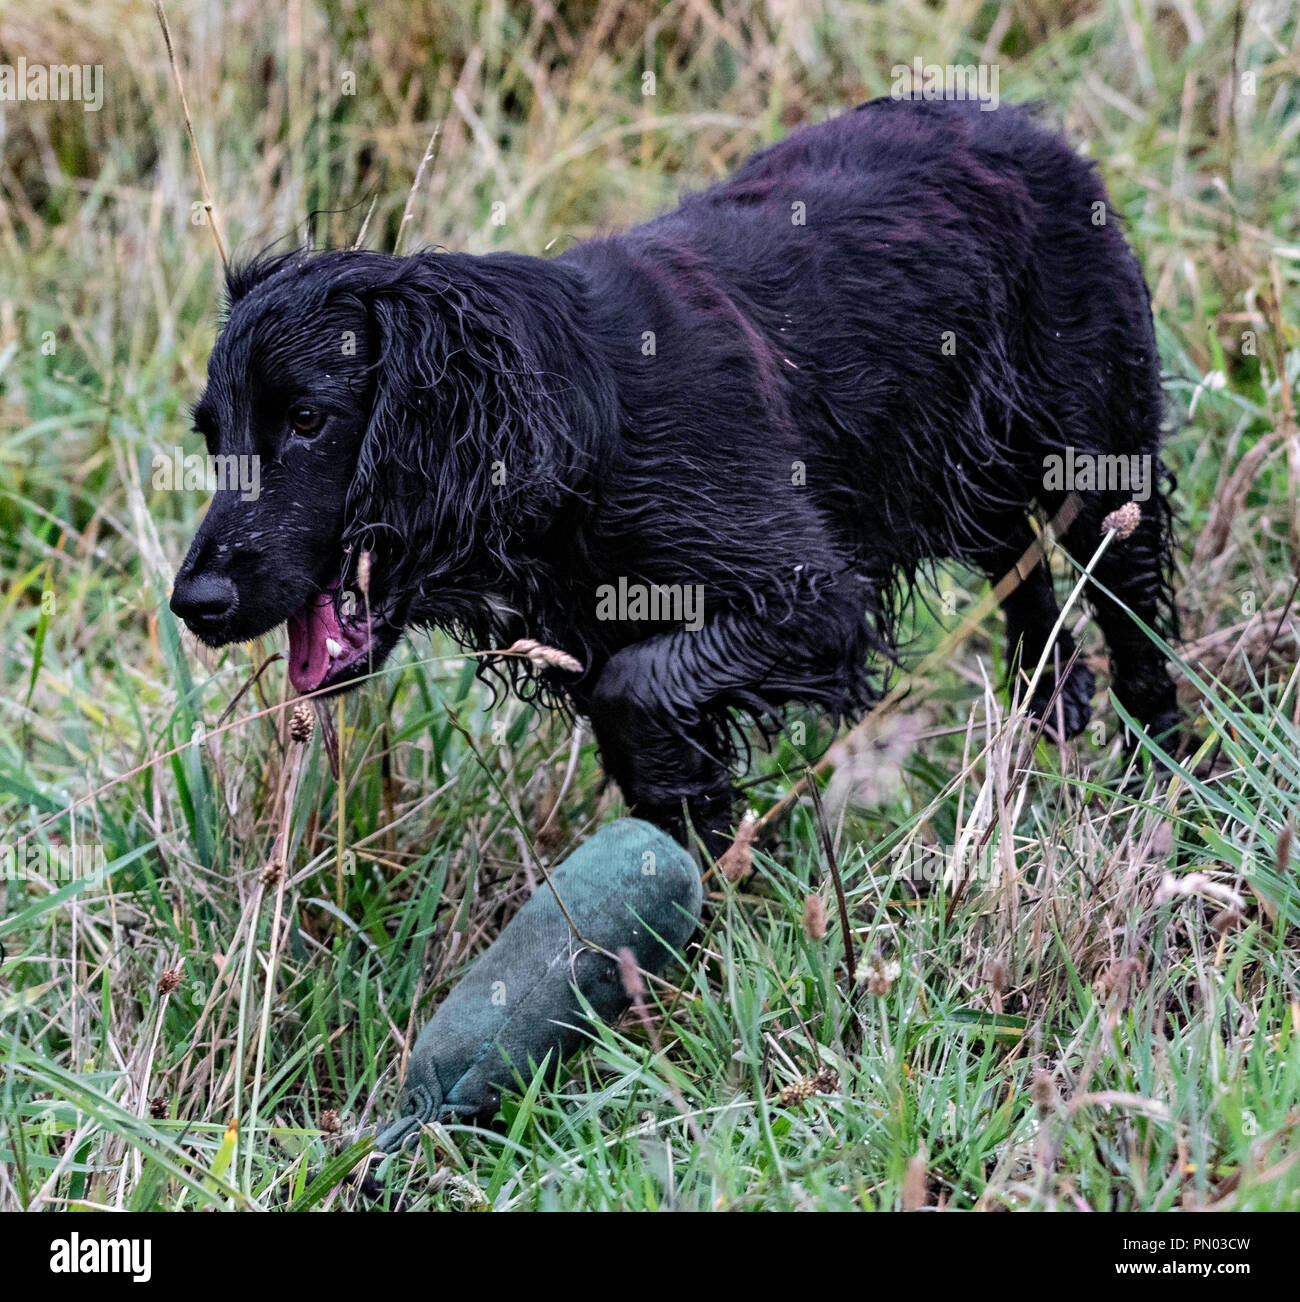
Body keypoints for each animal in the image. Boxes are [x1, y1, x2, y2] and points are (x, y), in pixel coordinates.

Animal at [170, 101, 1182, 854]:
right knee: (1021, 570)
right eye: (214, 436)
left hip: (1099, 463)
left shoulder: (809, 597)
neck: (581, 430)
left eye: (309, 421)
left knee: (1134, 627)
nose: (195, 604)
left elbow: (641, 693)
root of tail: (1030, 128)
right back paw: (1053, 702)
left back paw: (1165, 789)